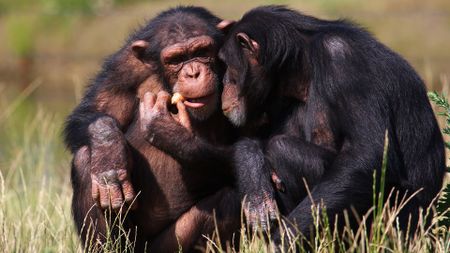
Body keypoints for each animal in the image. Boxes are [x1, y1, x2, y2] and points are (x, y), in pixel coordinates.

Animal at [63, 6, 244, 252]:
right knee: (84, 160)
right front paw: (109, 154)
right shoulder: (124, 67)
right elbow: (94, 111)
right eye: (175, 59)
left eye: (202, 51)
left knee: (229, 199)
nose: (193, 72)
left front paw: (170, 132)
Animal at [216, 4, 444, 247]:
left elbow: (365, 155)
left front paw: (282, 242)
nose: (224, 82)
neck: (302, 64)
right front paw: (252, 174)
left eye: (227, 64)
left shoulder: (343, 61)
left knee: (282, 149)